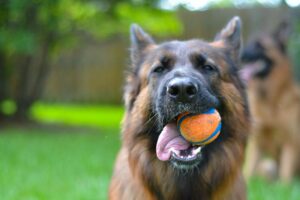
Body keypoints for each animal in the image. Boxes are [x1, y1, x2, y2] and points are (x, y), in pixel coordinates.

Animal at [240, 22, 300, 183]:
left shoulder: (289, 143)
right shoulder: (256, 143)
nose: (241, 54)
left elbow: (285, 178)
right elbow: (249, 172)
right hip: (268, 165)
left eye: (260, 45)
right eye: (249, 42)